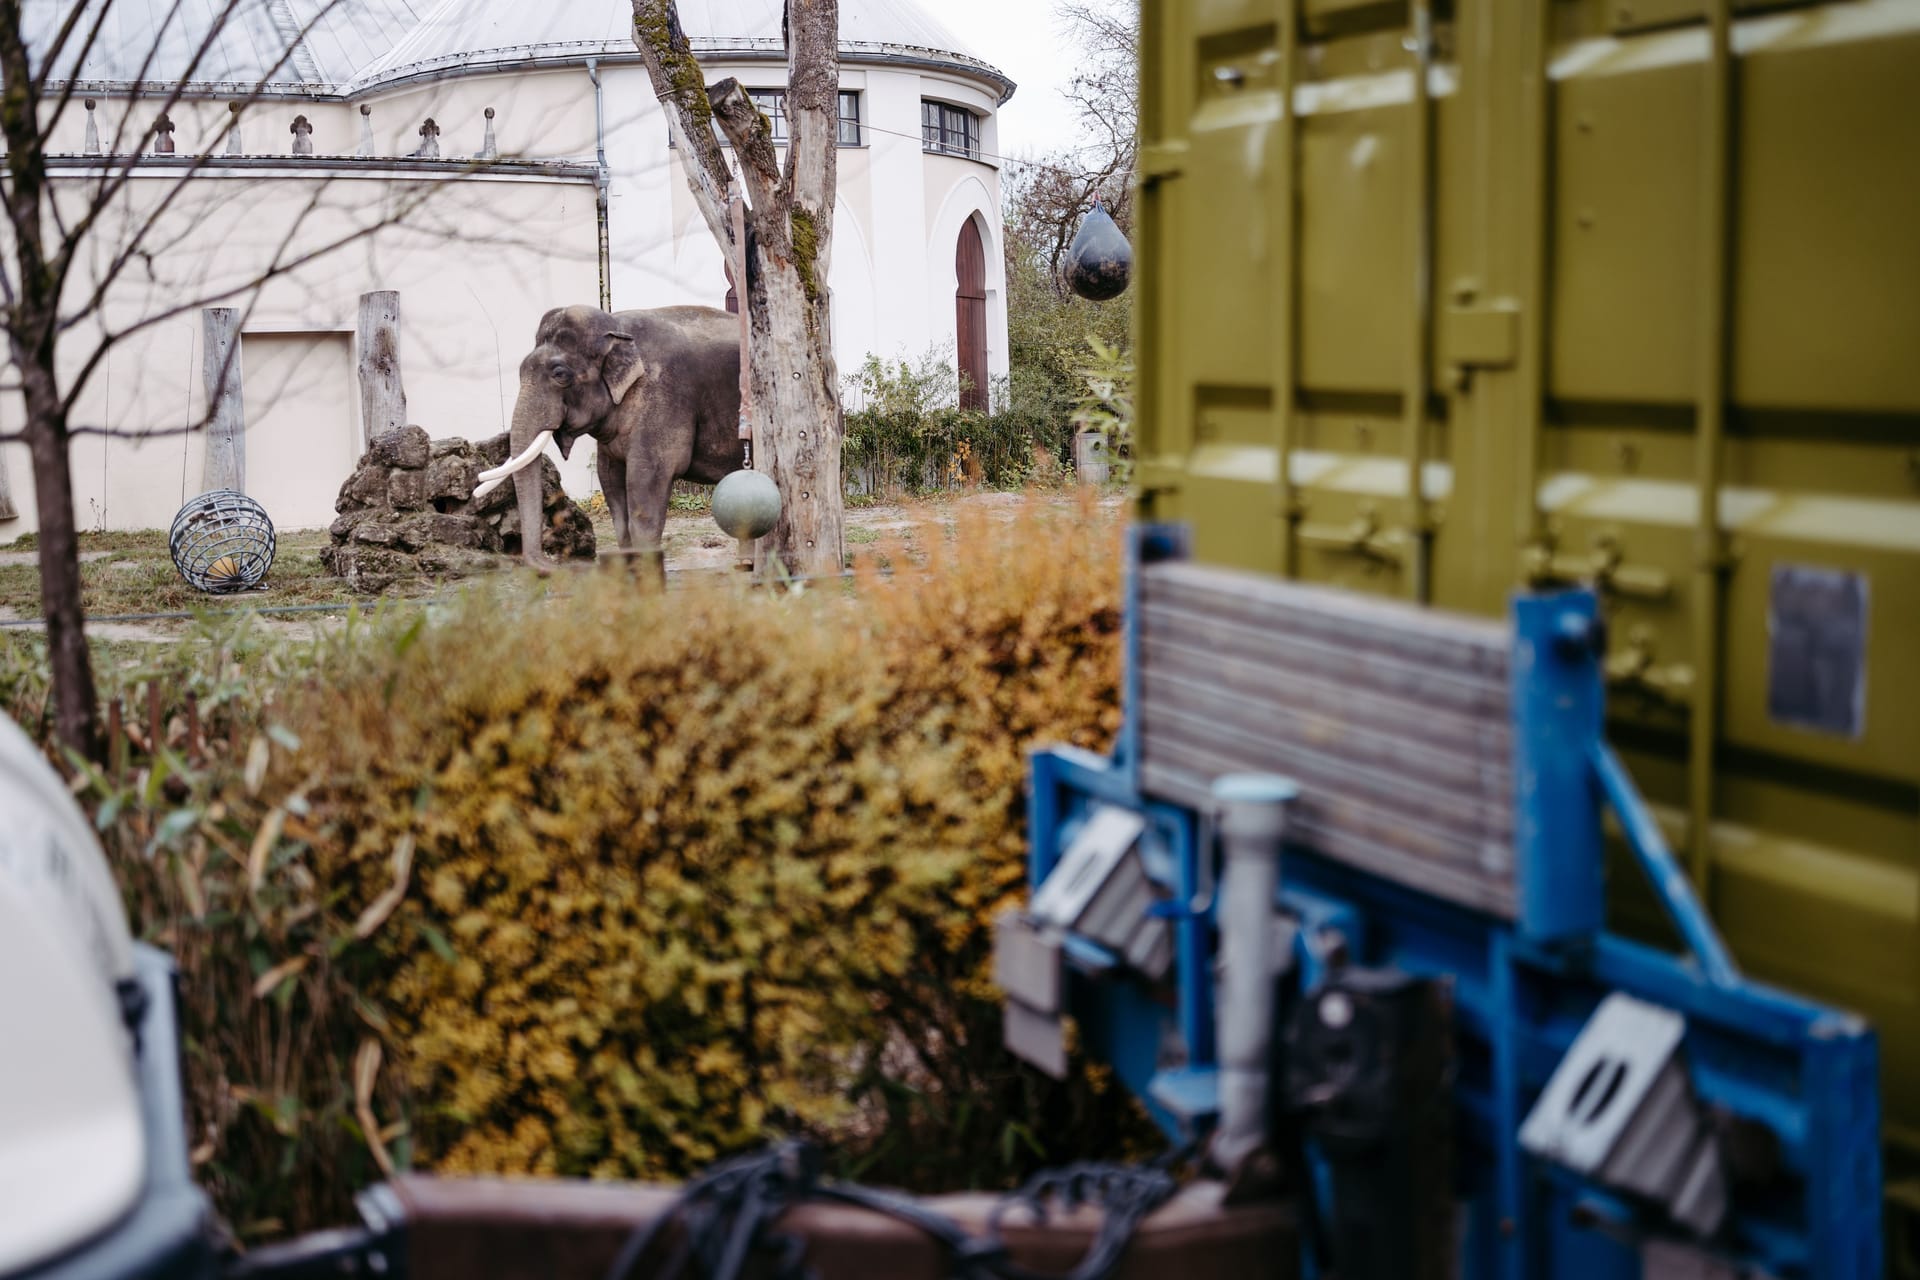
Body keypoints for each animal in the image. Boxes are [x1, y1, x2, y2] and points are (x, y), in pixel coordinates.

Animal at [478, 305, 741, 571]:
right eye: (521, 370)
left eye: (559, 374)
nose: (557, 564)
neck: (617, 328)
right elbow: (610, 481)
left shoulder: (663, 399)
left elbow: (646, 481)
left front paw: (648, 575)